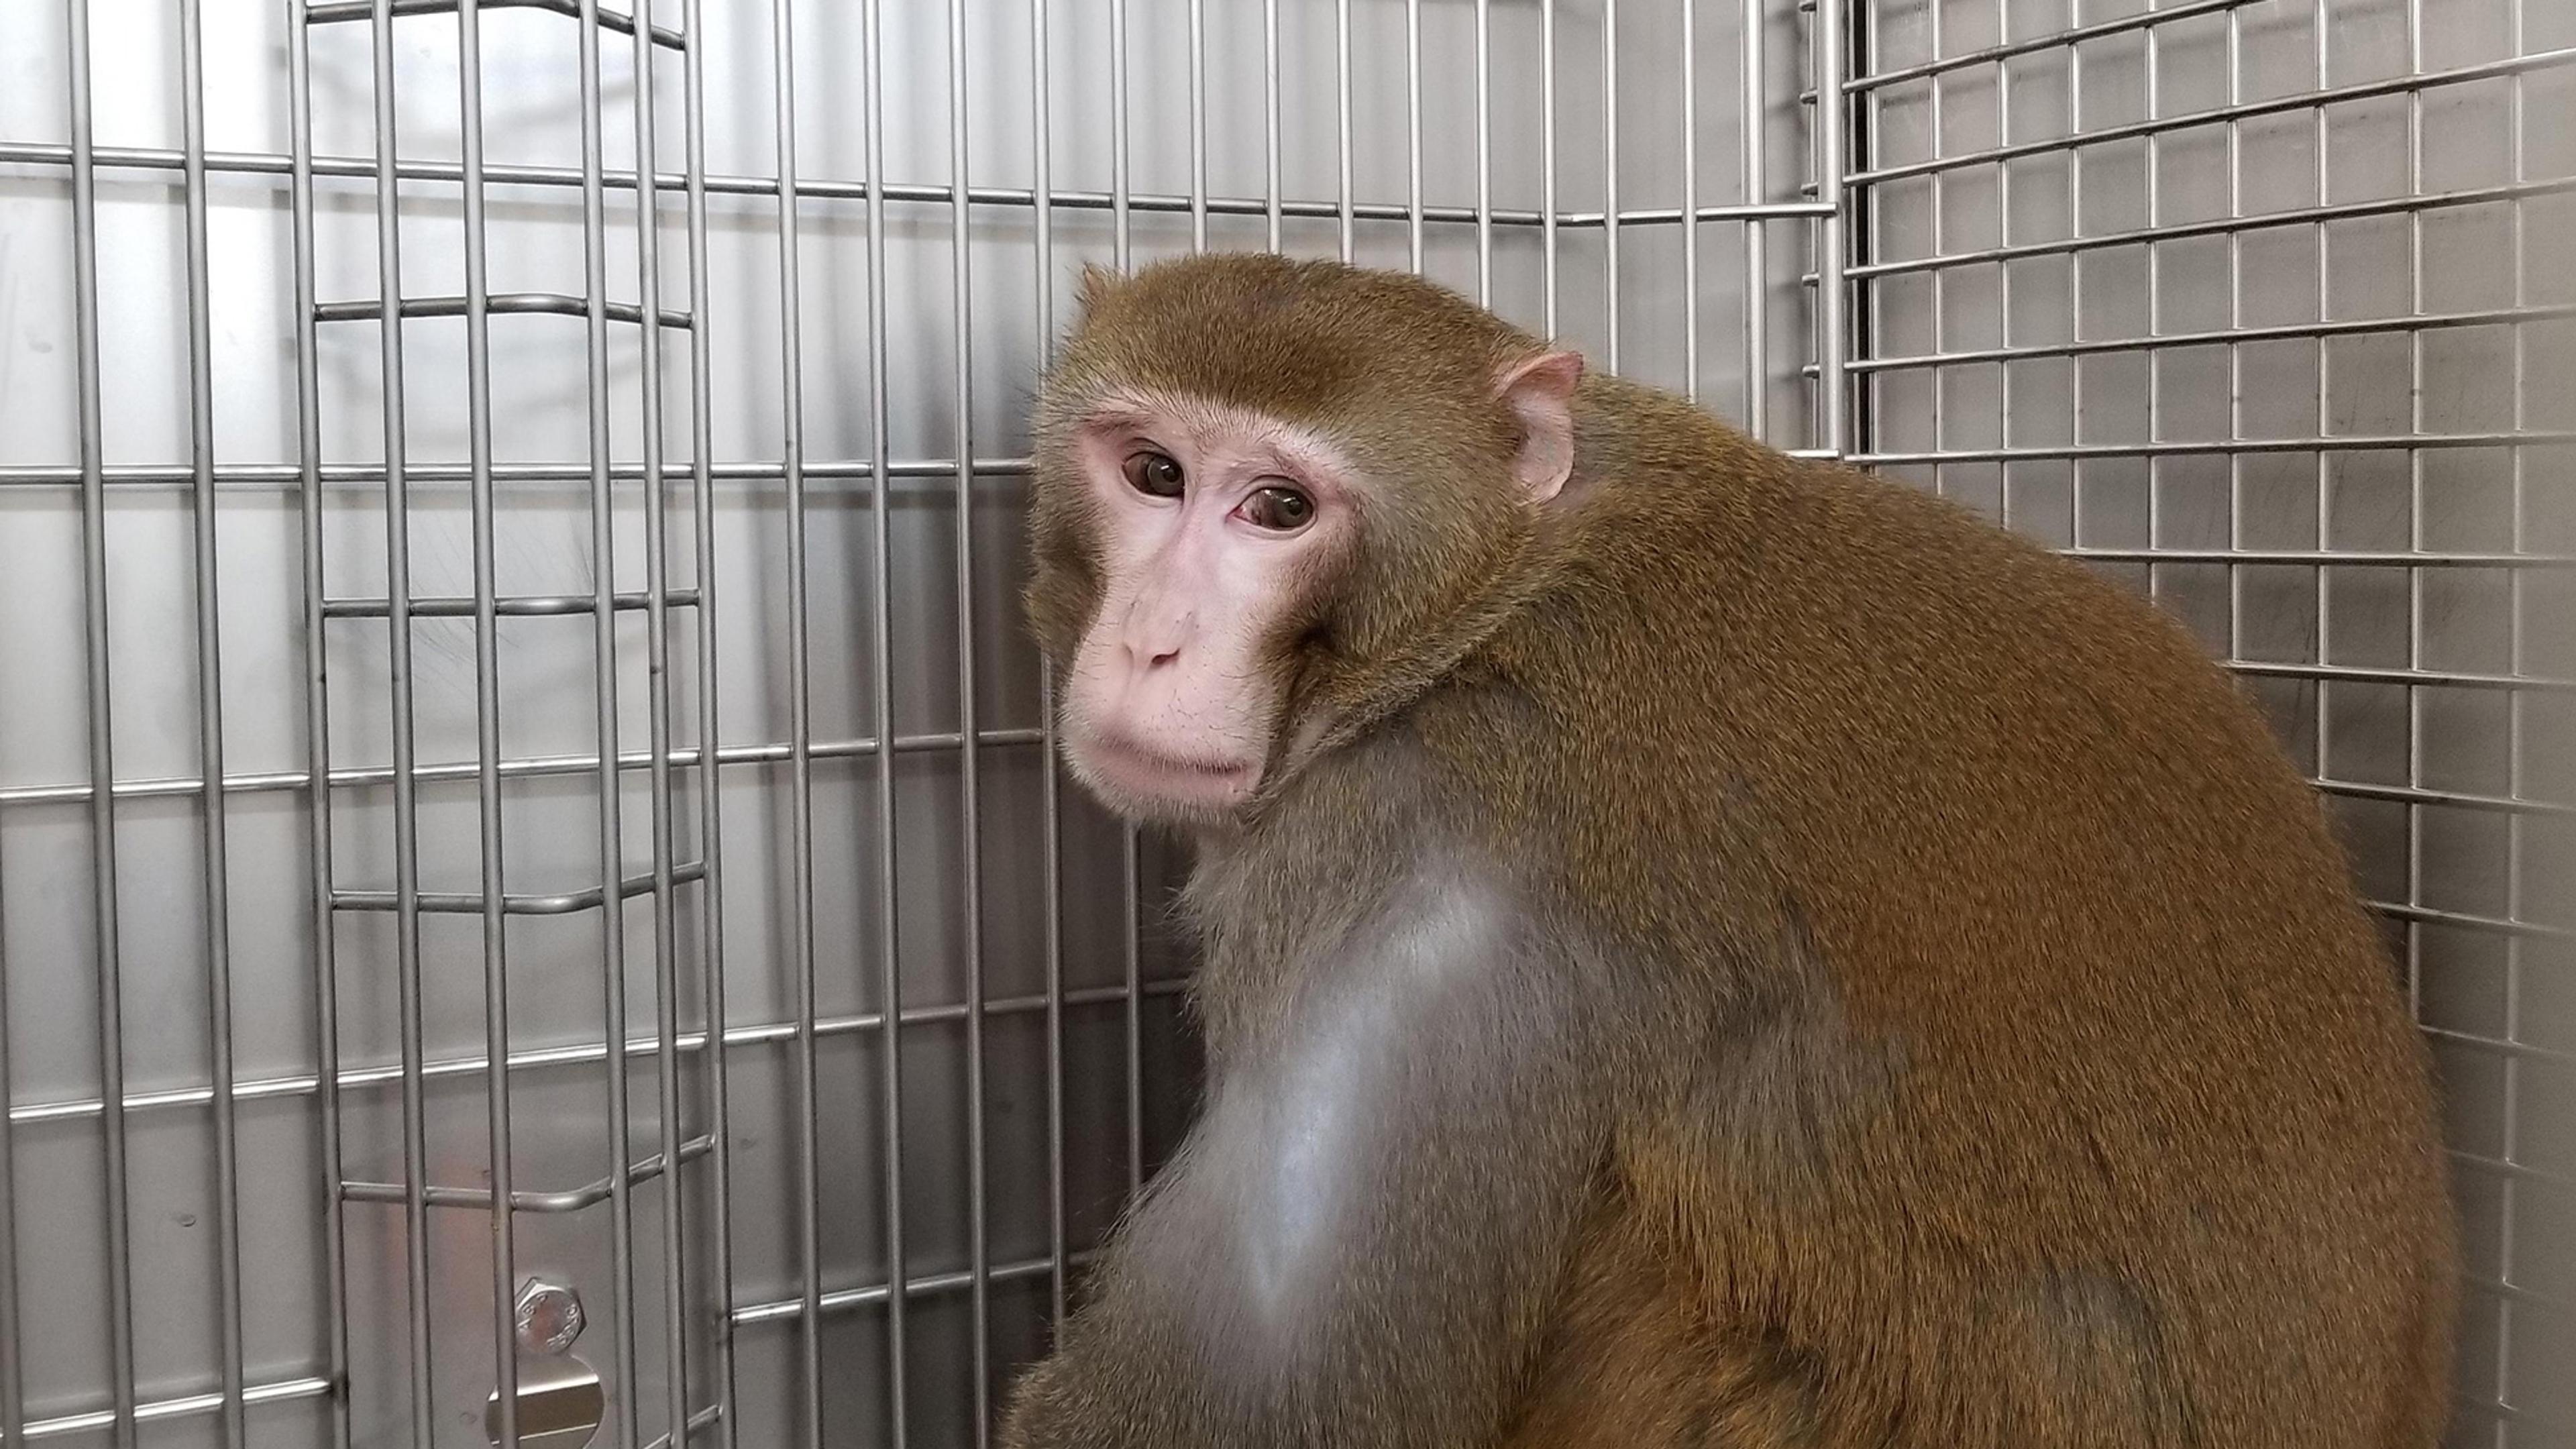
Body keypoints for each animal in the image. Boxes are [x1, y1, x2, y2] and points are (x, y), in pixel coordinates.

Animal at [999, 252, 2459, 1448]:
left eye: (1278, 509)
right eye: (1152, 474)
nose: (1154, 644)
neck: (1490, 605)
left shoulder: (1429, 855)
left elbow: (1244, 1411)